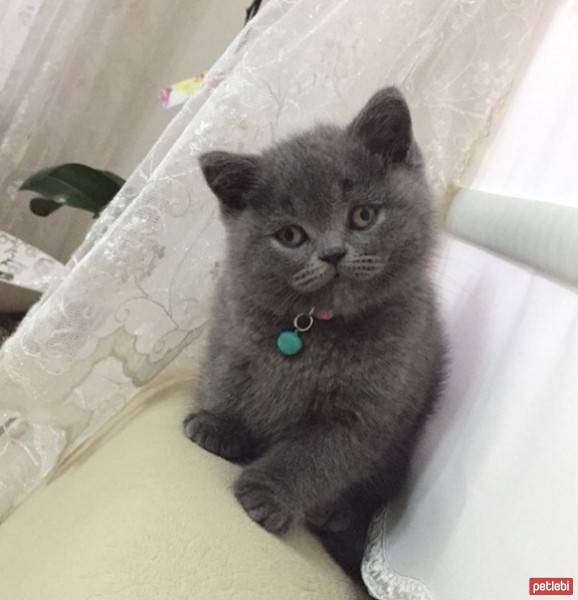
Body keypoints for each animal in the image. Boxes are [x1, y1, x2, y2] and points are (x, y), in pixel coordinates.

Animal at [182, 89, 444, 584]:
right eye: (290, 235)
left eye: (362, 215)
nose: (333, 253)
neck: (315, 327)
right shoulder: (231, 332)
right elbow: (227, 380)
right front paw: (217, 427)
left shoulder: (369, 409)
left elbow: (317, 456)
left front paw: (266, 495)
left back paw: (334, 515)